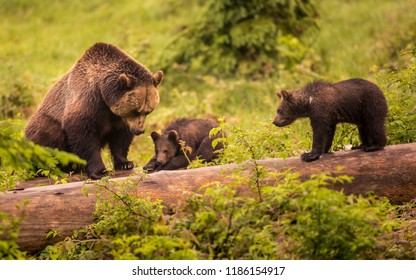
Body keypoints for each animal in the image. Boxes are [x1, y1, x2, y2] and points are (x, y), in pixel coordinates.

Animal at [24, 43, 164, 180]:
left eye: (148, 111)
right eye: (135, 111)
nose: (140, 130)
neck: (104, 94)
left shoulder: (118, 117)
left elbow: (120, 137)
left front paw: (125, 163)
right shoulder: (89, 100)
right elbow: (83, 134)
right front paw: (100, 171)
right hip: (43, 124)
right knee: (48, 132)